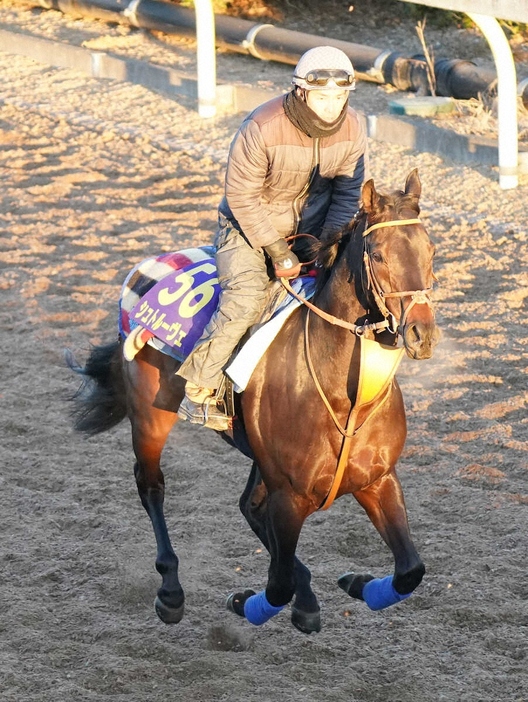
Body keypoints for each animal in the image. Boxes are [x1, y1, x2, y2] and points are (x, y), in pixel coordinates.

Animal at [71, 172, 442, 640]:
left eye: (431, 250)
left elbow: (410, 570)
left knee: (248, 505)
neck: (347, 399)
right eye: (377, 254)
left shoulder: (378, 480)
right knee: (151, 485)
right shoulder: (289, 494)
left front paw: (356, 583)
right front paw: (245, 602)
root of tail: (144, 273)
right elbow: (277, 584)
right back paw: (171, 591)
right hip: (151, 414)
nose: (421, 334)